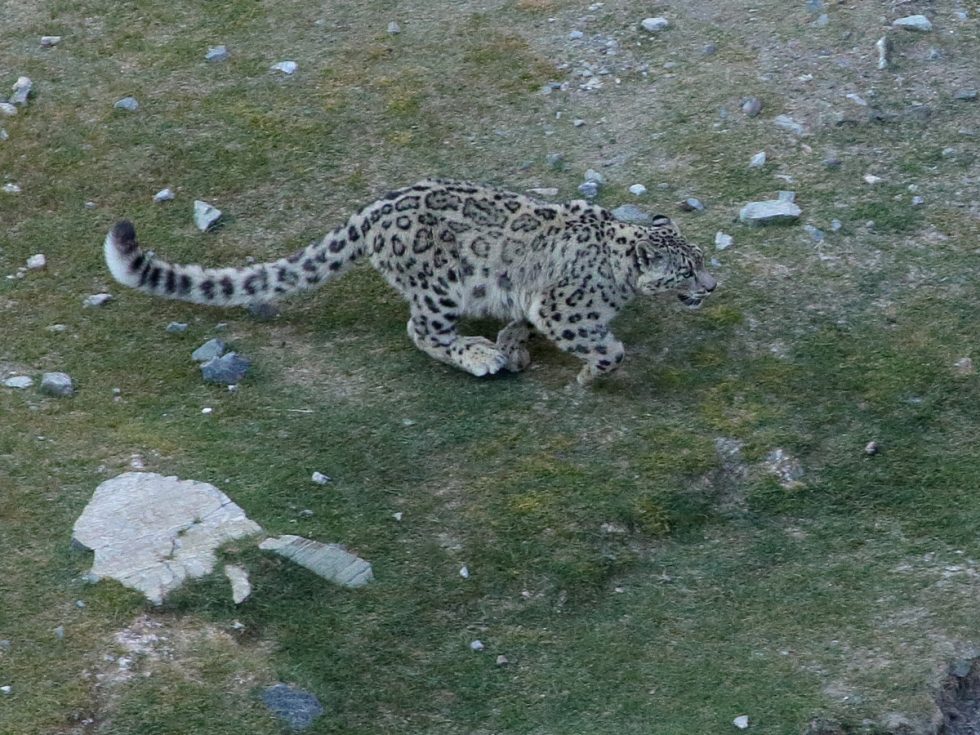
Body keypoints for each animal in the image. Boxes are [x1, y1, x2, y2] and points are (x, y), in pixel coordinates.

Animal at [103, 179, 716, 385]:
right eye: (687, 269)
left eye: (704, 258)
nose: (712, 286)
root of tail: (372, 211)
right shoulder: (565, 310)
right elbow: (608, 346)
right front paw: (591, 374)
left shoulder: (533, 297)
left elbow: (523, 316)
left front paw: (515, 342)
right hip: (439, 287)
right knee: (421, 331)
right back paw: (478, 355)